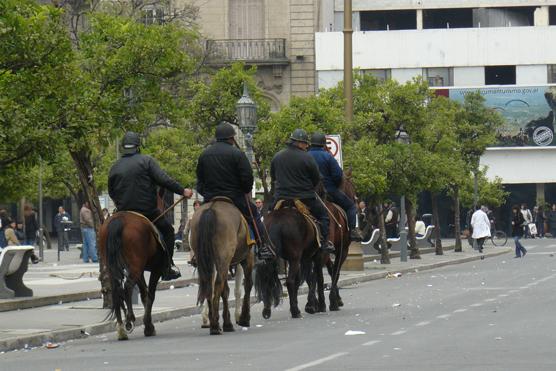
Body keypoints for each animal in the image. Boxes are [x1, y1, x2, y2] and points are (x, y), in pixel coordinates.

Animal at [98, 212, 165, 342]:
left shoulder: (140, 272)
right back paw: (129, 320)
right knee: (128, 286)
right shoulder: (156, 269)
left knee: (116, 290)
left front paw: (148, 325)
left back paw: (121, 329)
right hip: (135, 267)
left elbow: (144, 294)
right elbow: (150, 295)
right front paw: (148, 327)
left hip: (113, 267)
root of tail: (119, 219)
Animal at [189, 202, 254, 336]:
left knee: (210, 285)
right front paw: (243, 318)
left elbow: (226, 291)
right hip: (224, 258)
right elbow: (246, 285)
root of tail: (210, 209)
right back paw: (214, 325)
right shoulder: (246, 258)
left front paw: (227, 322)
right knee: (218, 284)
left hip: (207, 260)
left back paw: (212, 322)